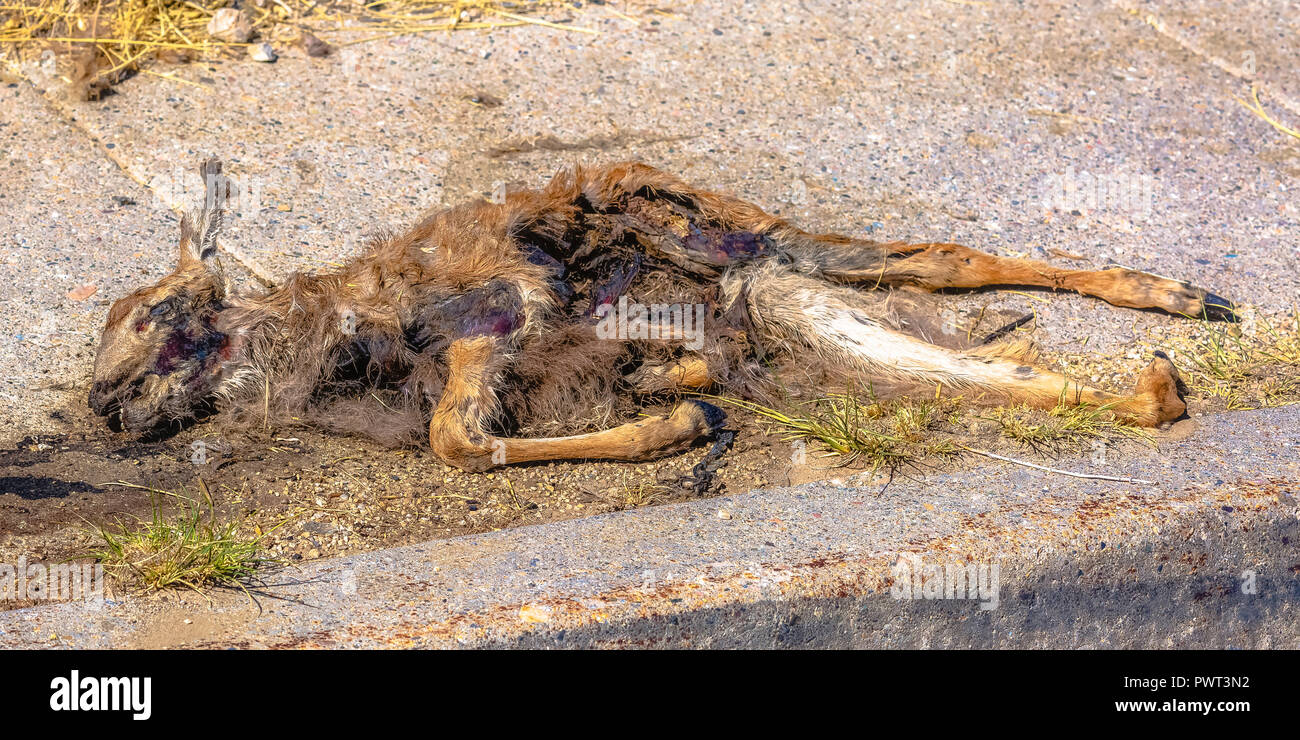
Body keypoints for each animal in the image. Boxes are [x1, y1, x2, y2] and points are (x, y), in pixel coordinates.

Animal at [89, 159, 1236, 472]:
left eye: (148, 316)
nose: (100, 408)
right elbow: (465, 431)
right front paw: (676, 400)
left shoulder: (499, 310)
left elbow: (459, 436)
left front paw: (674, 421)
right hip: (784, 293)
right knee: (956, 325)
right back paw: (1156, 376)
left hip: (745, 241)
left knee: (941, 259)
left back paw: (1176, 297)